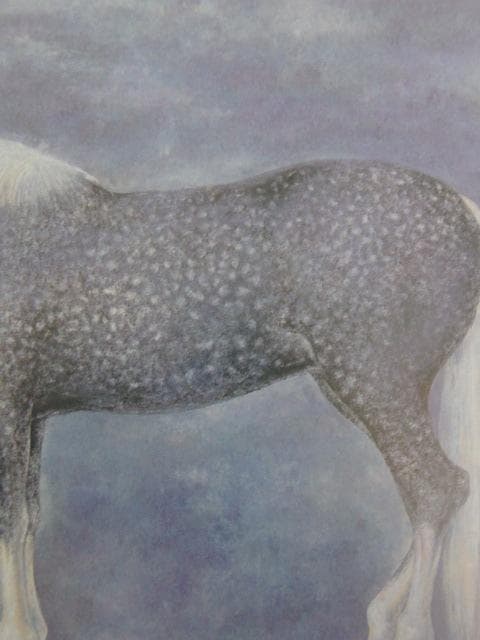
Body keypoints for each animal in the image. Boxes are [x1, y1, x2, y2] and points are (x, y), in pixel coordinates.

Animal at [0, 138, 478, 640]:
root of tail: (463, 209)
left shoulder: (8, 405)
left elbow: (9, 522)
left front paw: (14, 626)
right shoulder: (31, 414)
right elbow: (28, 519)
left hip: (378, 386)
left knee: (436, 491)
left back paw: (407, 621)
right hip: (353, 389)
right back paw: (382, 612)